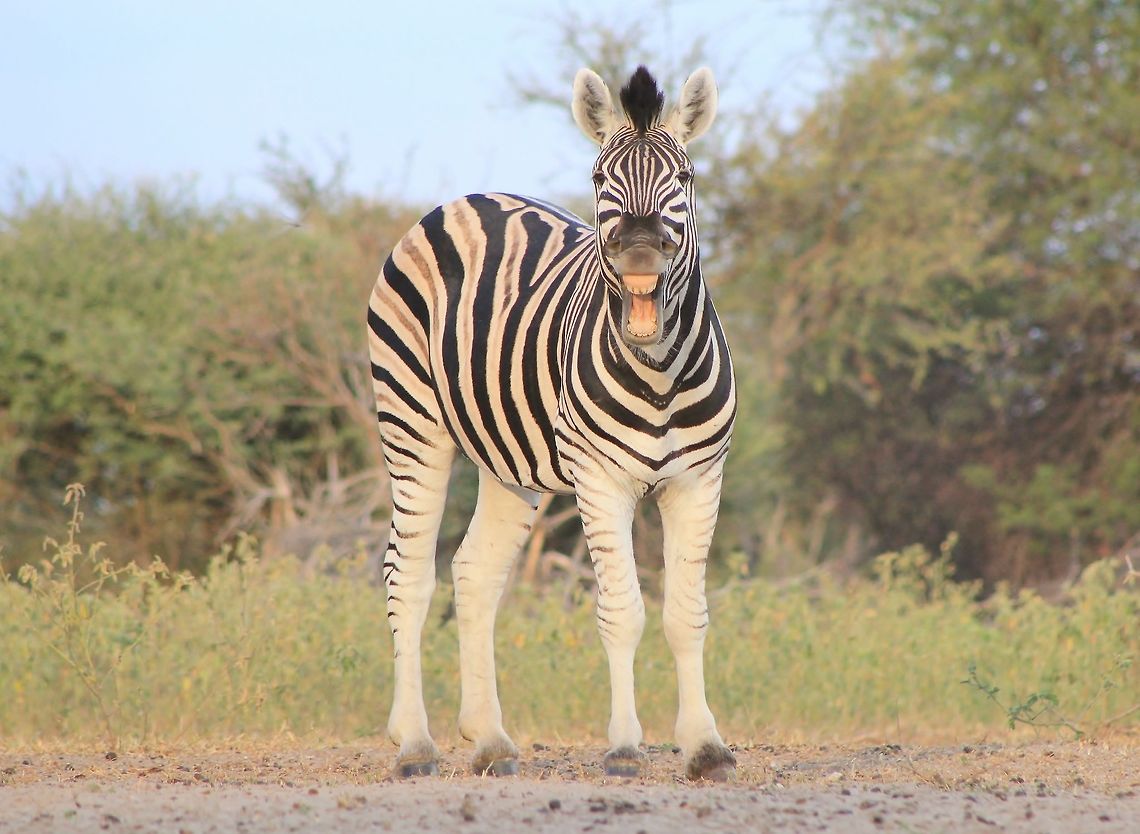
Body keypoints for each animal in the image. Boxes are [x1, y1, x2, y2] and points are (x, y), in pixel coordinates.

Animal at [367, 65, 736, 781]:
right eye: (599, 179)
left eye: (684, 177)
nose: (641, 251)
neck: (658, 373)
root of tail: (464, 200)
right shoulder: (600, 480)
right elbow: (622, 612)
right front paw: (624, 748)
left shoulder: (699, 481)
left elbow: (688, 614)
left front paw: (705, 746)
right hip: (412, 421)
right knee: (409, 573)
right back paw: (415, 743)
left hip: (507, 463)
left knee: (474, 575)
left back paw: (488, 740)